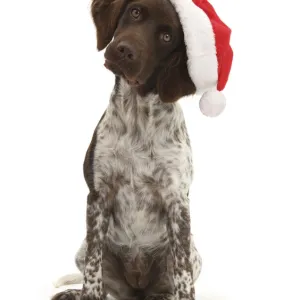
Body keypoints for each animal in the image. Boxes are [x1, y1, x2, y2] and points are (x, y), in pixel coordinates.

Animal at [52, 0, 202, 298]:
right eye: (135, 12)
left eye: (166, 37)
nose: (124, 50)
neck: (137, 116)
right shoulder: (98, 195)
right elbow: (93, 274)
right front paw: (86, 293)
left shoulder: (177, 202)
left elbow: (183, 277)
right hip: (82, 250)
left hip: (195, 255)